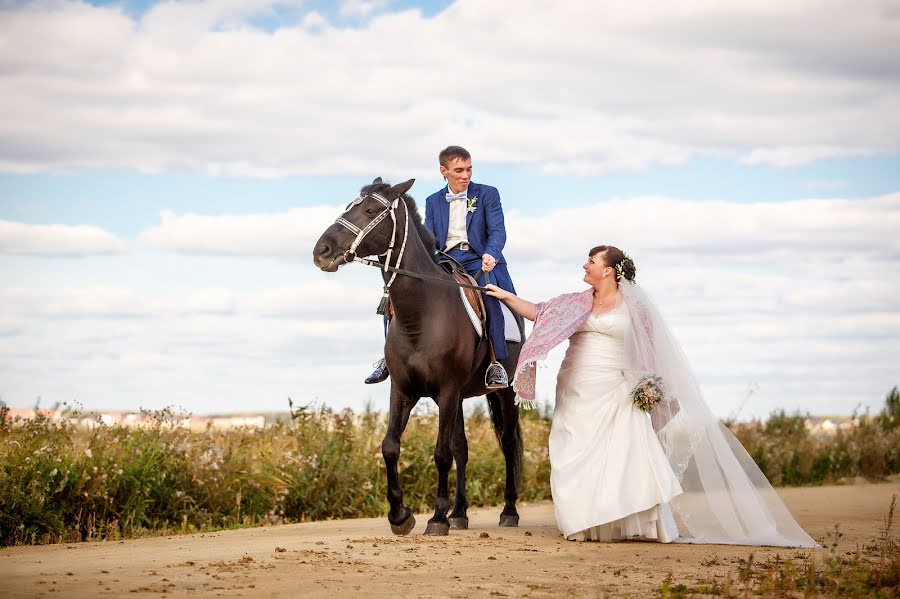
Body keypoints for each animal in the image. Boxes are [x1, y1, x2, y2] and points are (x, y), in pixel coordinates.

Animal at [312, 179, 524, 540]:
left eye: (370, 210)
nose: (321, 251)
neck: (421, 313)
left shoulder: (447, 391)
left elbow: (440, 454)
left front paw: (436, 519)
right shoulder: (403, 390)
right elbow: (390, 446)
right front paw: (400, 515)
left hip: (503, 391)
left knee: (507, 444)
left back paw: (508, 511)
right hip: (460, 399)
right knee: (462, 448)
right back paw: (460, 513)